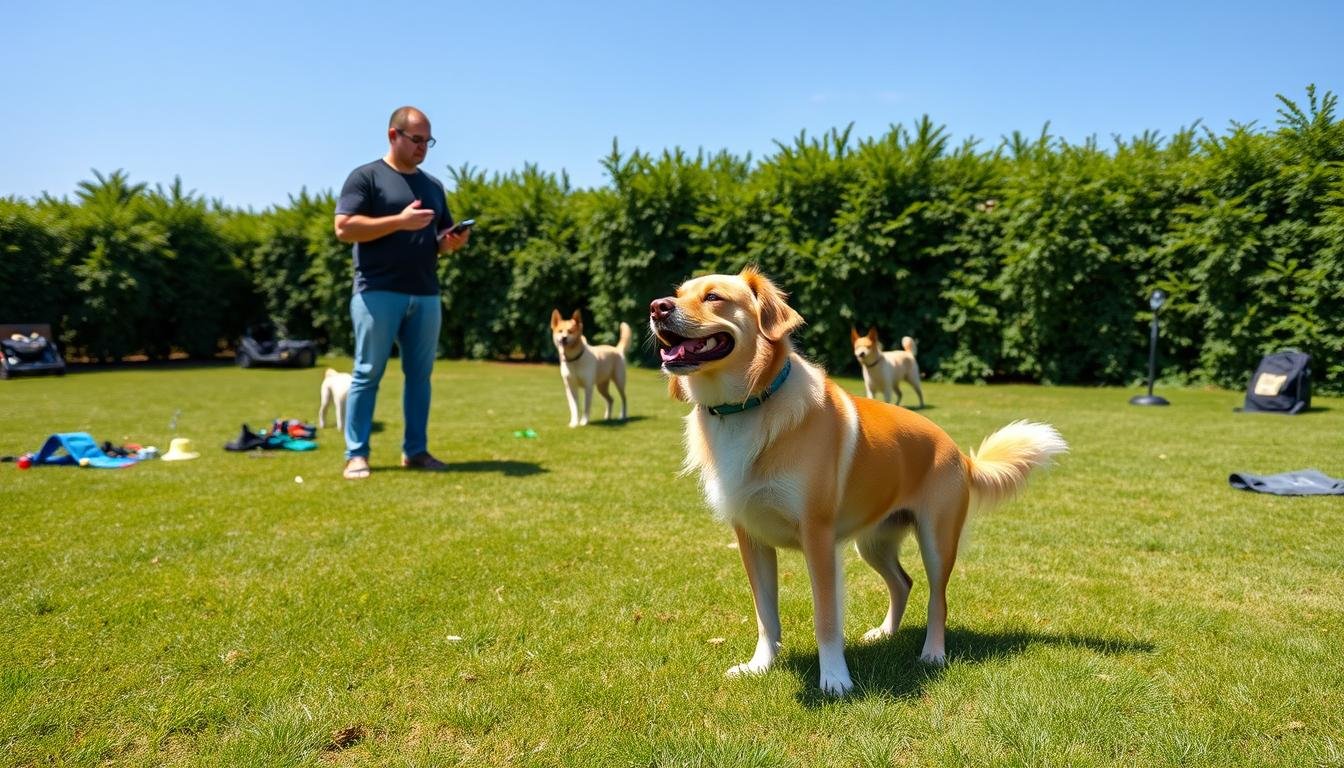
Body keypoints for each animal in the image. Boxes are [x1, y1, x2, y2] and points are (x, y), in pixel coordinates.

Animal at [650, 269, 1069, 699]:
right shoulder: (751, 538)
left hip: (936, 540)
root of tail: (959, 453)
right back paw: (885, 632)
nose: (657, 307)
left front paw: (835, 679)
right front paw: (759, 666)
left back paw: (933, 652)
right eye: (678, 293)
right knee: (903, 582)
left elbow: (826, 618)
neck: (749, 405)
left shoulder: (818, 538)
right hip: (873, 543)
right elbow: (765, 613)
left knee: (938, 598)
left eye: (713, 297)